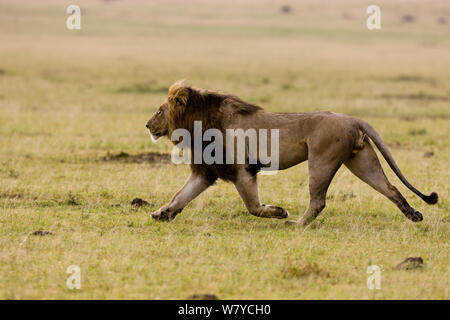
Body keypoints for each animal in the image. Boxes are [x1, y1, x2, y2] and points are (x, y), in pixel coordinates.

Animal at [146, 81, 438, 226]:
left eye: (159, 110)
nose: (147, 125)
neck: (199, 123)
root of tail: (352, 118)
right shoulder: (206, 172)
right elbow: (180, 196)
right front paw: (162, 214)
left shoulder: (242, 169)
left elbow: (253, 207)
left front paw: (278, 212)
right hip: (361, 160)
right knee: (390, 188)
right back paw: (414, 215)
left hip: (321, 160)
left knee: (318, 201)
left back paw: (295, 224)